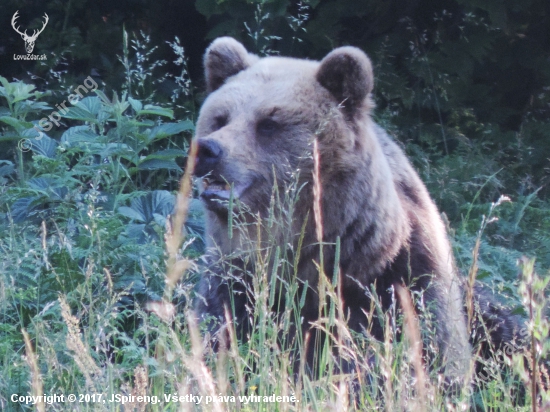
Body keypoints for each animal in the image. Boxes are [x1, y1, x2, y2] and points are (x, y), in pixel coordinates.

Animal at [193, 36, 500, 386]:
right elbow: (222, 336)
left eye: (268, 123)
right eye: (220, 118)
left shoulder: (401, 280)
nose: (208, 149)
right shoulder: (235, 281)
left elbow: (425, 352)